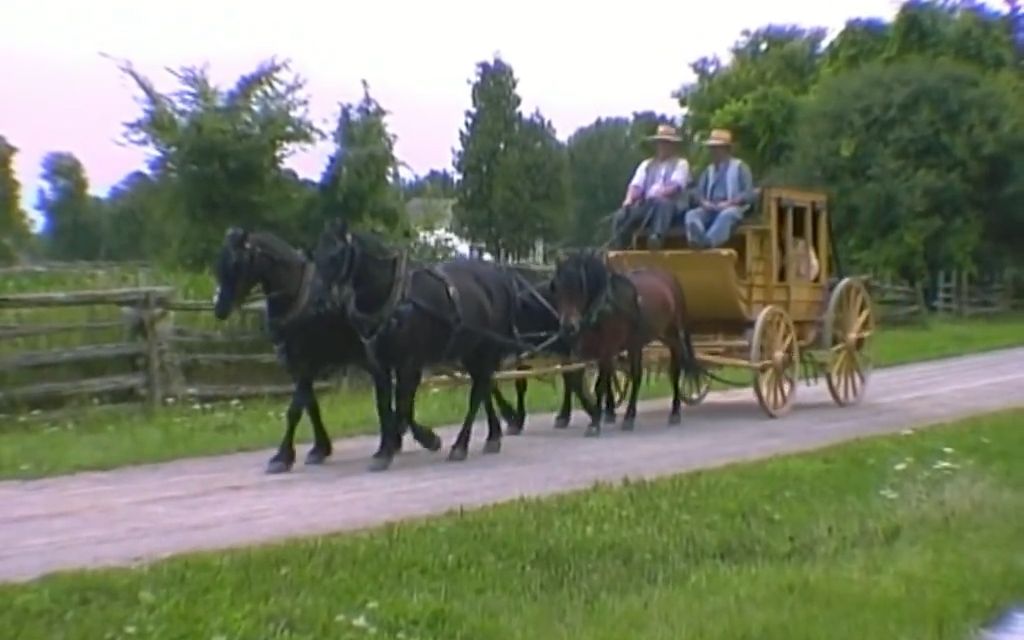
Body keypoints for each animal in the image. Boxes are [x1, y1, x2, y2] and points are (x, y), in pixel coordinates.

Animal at [211, 227, 423, 471]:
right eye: (220, 262)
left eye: (237, 263)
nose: (220, 309)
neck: (298, 296)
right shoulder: (294, 364)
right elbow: (310, 406)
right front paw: (320, 448)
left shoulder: (306, 363)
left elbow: (294, 409)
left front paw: (282, 456)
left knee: (400, 393)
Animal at [315, 219, 528, 468]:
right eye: (315, 254)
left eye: (336, 254)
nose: (319, 301)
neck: (394, 299)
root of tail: (500, 279)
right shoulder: (381, 366)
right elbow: (385, 407)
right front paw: (387, 448)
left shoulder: (409, 363)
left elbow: (403, 407)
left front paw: (418, 440)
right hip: (471, 351)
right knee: (483, 386)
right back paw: (494, 435)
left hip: (485, 348)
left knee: (478, 393)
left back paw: (461, 445)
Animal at [552, 246, 696, 436]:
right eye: (557, 288)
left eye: (580, 287)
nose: (569, 327)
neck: (603, 306)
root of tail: (669, 277)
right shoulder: (582, 350)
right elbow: (574, 380)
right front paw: (591, 414)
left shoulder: (606, 351)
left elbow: (599, 385)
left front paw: (595, 422)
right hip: (637, 342)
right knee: (637, 375)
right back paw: (630, 416)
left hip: (671, 335)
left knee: (674, 370)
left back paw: (673, 412)